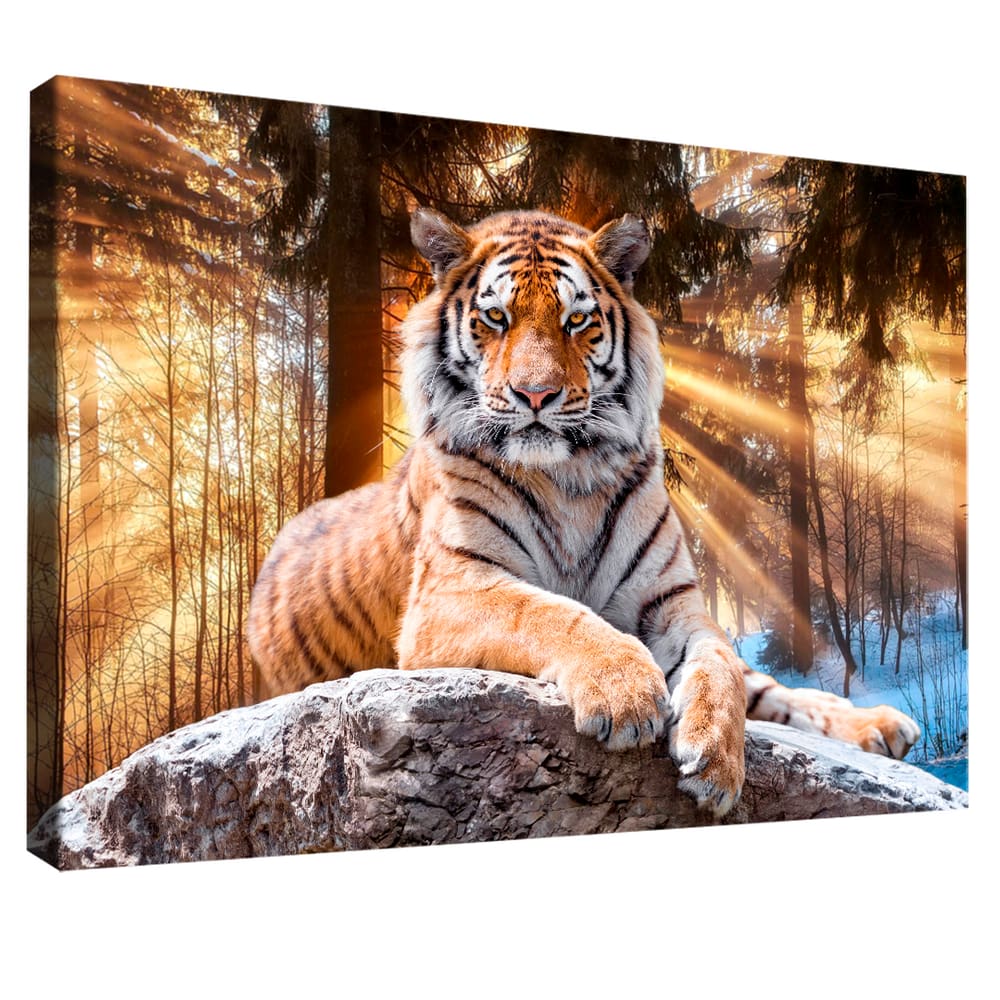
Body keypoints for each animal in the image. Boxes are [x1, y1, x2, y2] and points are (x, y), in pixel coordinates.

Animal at [247, 206, 921, 817]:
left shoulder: (672, 601)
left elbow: (721, 665)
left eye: (576, 320)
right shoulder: (452, 590)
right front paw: (626, 693)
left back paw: (882, 725)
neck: (570, 477)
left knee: (766, 683)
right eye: (496, 317)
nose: (535, 394)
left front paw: (717, 760)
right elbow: (549, 612)